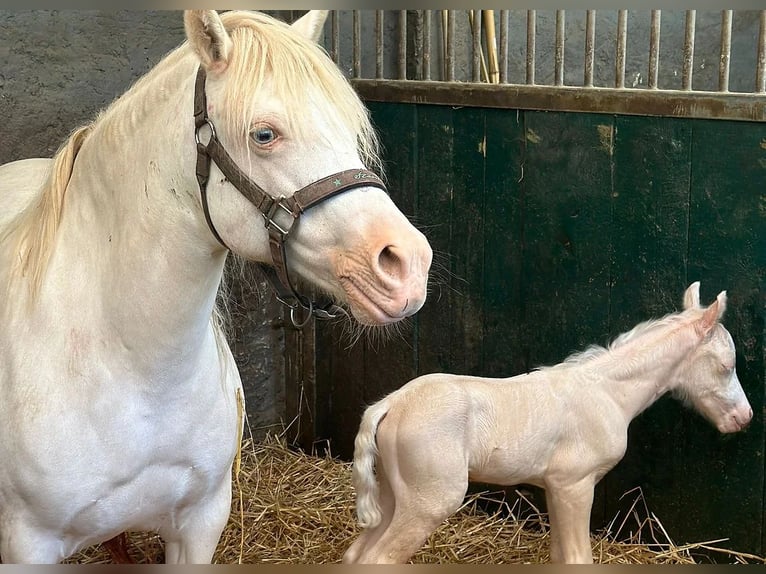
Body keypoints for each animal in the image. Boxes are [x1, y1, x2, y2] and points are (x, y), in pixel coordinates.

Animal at [346, 284, 756, 568]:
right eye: (726, 365)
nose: (744, 417)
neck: (606, 393)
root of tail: (391, 404)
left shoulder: (555, 488)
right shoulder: (575, 485)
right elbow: (578, 559)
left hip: (393, 492)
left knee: (356, 555)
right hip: (430, 500)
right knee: (379, 559)